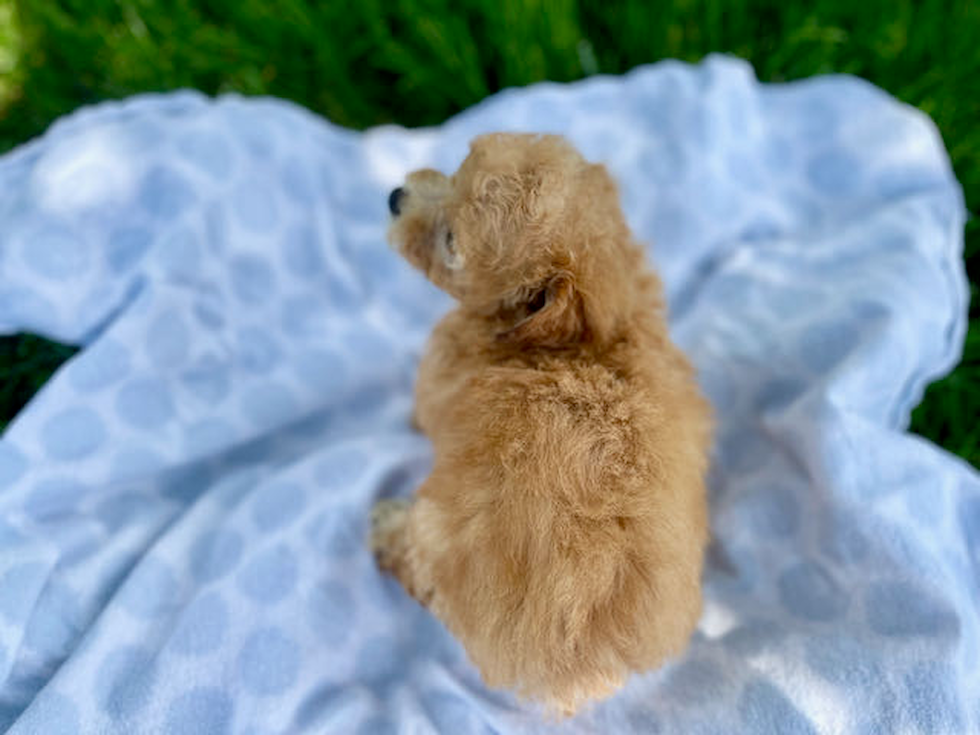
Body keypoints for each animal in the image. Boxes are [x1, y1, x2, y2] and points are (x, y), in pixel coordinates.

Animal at [372, 134, 708, 720]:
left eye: (452, 242)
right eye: (457, 167)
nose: (395, 196)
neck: (584, 332)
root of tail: (584, 667)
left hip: (436, 536)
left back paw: (383, 529)